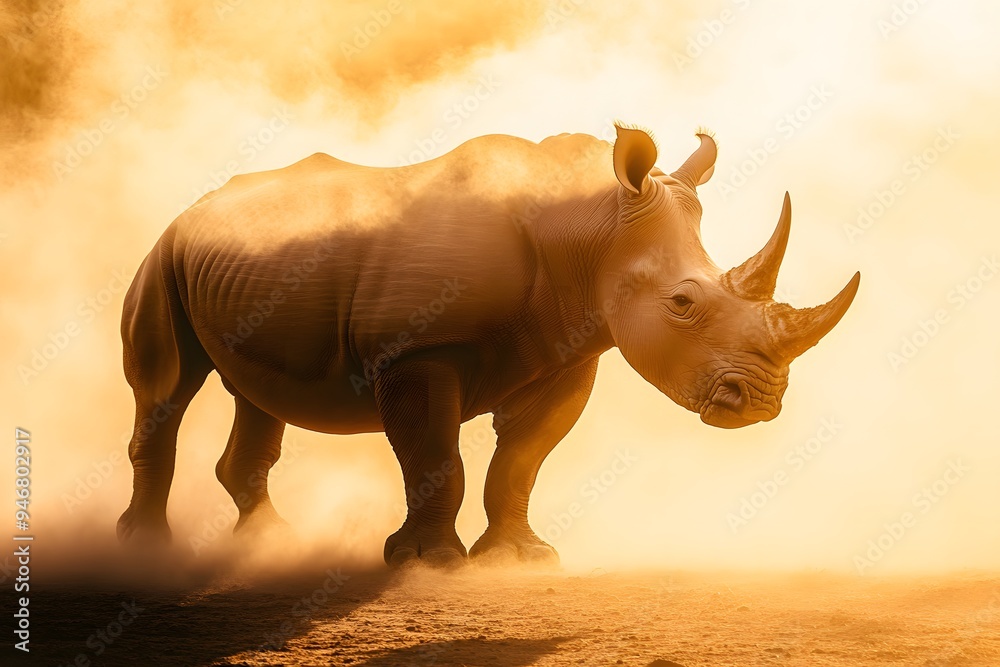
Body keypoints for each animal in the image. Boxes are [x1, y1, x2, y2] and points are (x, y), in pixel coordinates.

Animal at [117, 124, 859, 566]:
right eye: (683, 304)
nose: (759, 403)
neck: (591, 231)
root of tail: (197, 206)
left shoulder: (571, 354)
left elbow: (522, 460)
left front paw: (519, 558)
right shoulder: (416, 350)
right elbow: (434, 457)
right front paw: (428, 563)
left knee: (255, 392)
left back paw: (269, 544)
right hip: (163, 252)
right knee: (167, 387)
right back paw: (147, 549)